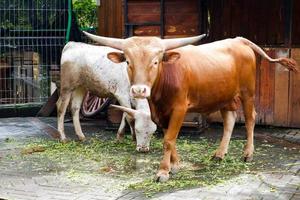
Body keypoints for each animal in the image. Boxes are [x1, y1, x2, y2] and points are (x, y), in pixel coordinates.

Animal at [84, 30, 298, 181]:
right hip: (225, 96)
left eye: (156, 62)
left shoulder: (179, 109)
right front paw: (175, 165)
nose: (139, 90)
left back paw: (248, 154)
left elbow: (169, 139)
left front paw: (163, 171)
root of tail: (238, 40)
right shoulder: (160, 113)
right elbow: (169, 137)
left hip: (248, 93)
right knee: (229, 121)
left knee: (250, 119)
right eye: (128, 61)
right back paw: (219, 154)